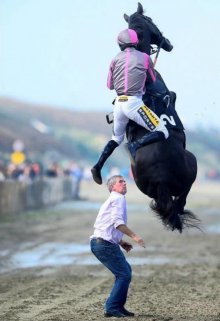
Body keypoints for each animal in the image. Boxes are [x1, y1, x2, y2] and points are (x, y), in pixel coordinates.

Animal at [124, 2, 199, 232]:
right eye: (152, 21)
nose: (168, 44)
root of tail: (161, 177)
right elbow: (172, 95)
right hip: (192, 165)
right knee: (182, 198)